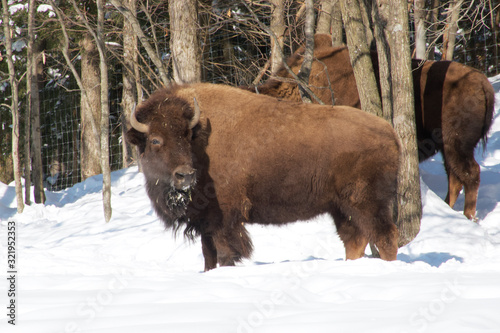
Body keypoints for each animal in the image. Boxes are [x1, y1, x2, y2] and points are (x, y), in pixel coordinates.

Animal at [127, 82, 400, 270]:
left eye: (185, 136)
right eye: (155, 140)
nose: (185, 175)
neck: (201, 141)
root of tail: (390, 131)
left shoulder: (224, 218)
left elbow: (225, 253)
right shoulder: (205, 222)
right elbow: (208, 256)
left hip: (367, 204)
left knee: (385, 237)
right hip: (340, 208)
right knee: (354, 240)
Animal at [244, 33, 494, 220]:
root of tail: (483, 83)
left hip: (457, 144)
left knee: (470, 173)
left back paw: (469, 216)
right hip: (447, 148)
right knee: (455, 177)